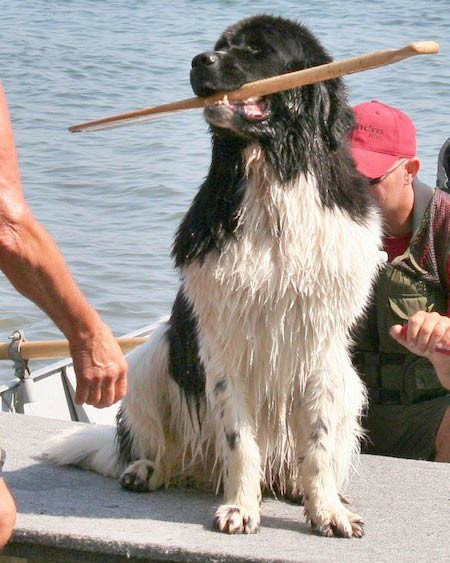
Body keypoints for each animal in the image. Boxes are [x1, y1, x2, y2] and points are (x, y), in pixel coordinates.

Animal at [47, 15, 382, 540]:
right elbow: (238, 439)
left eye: (258, 50)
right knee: (156, 442)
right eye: (220, 45)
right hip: (150, 360)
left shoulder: (321, 342)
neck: (270, 177)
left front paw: (328, 511)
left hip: (350, 382)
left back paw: (293, 487)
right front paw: (240, 509)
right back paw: (146, 470)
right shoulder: (225, 342)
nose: (199, 60)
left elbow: (318, 441)